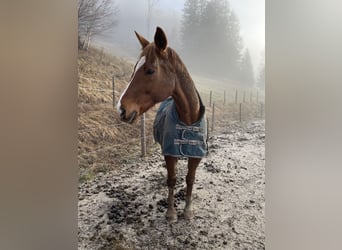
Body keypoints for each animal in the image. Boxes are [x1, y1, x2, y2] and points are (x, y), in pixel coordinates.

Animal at [117, 27, 208, 222]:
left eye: (150, 70)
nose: (121, 109)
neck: (188, 120)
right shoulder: (169, 152)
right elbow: (172, 179)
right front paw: (171, 212)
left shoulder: (196, 155)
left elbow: (190, 178)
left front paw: (187, 211)